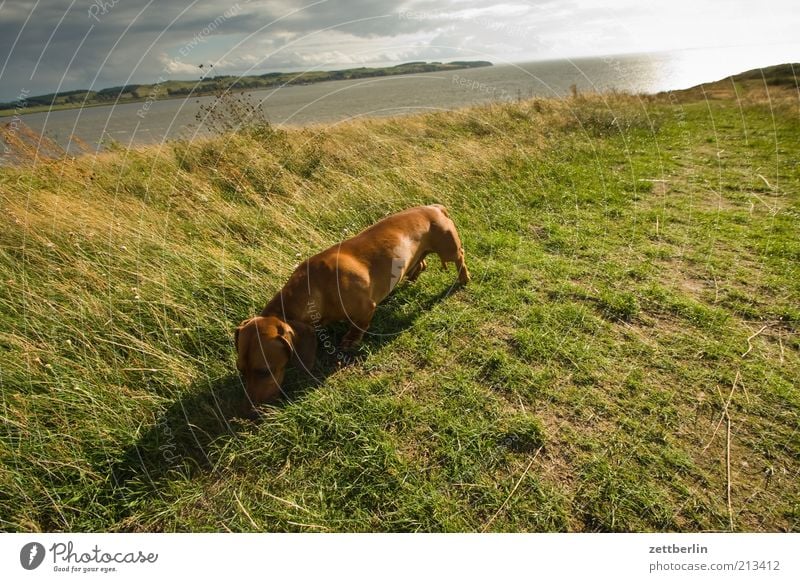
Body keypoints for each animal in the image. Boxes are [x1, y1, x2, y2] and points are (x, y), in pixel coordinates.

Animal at [233, 205, 468, 410]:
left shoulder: (366, 309)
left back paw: (463, 278)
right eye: (241, 370)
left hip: (449, 249)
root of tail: (434, 207)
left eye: (264, 371)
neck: (317, 285)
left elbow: (358, 326)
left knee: (461, 256)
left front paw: (350, 340)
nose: (247, 412)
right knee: (421, 264)